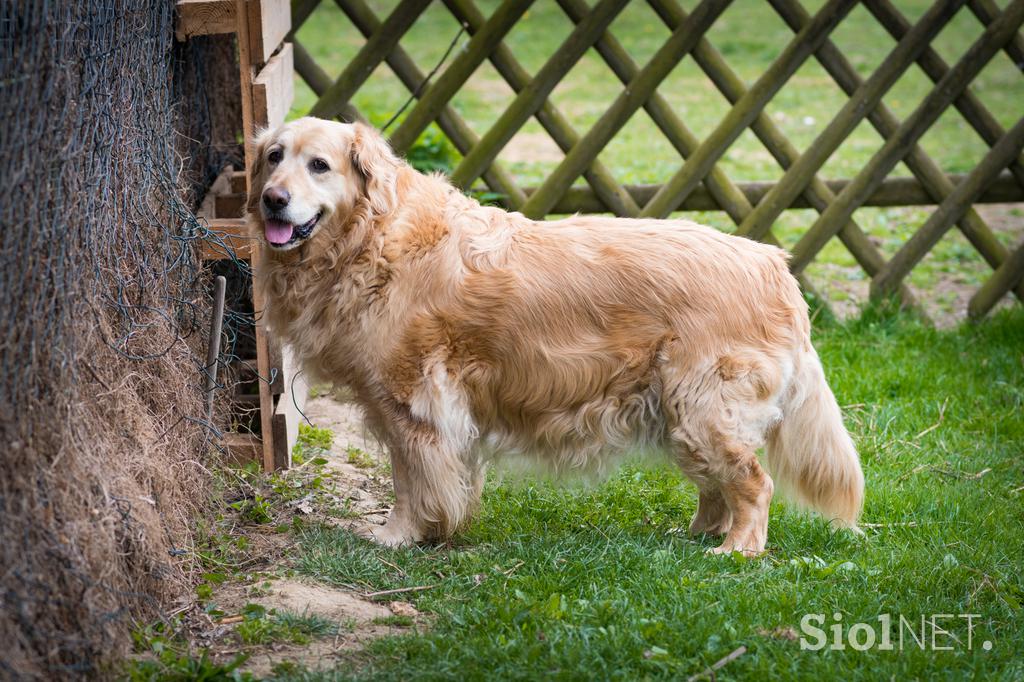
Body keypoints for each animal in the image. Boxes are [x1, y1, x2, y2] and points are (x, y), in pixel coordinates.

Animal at [249, 116, 864, 552]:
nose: (272, 199)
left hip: (705, 406)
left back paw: (738, 550)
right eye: (274, 157)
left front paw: (399, 535)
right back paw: (696, 534)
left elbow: (412, 481)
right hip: (681, 411)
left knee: (753, 482)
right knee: (716, 484)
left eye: (320, 165)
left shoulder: (413, 404)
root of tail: (775, 264)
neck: (372, 237)